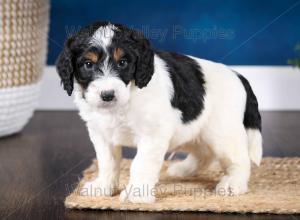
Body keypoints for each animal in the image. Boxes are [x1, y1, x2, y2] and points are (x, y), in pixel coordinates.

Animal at [56, 21, 262, 204]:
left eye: (123, 62)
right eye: (88, 64)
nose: (107, 95)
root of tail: (238, 75)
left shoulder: (152, 135)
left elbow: (140, 164)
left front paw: (137, 194)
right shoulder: (101, 133)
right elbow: (107, 161)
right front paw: (103, 187)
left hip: (222, 133)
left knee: (239, 158)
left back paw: (233, 183)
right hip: (191, 129)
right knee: (205, 153)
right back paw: (183, 169)